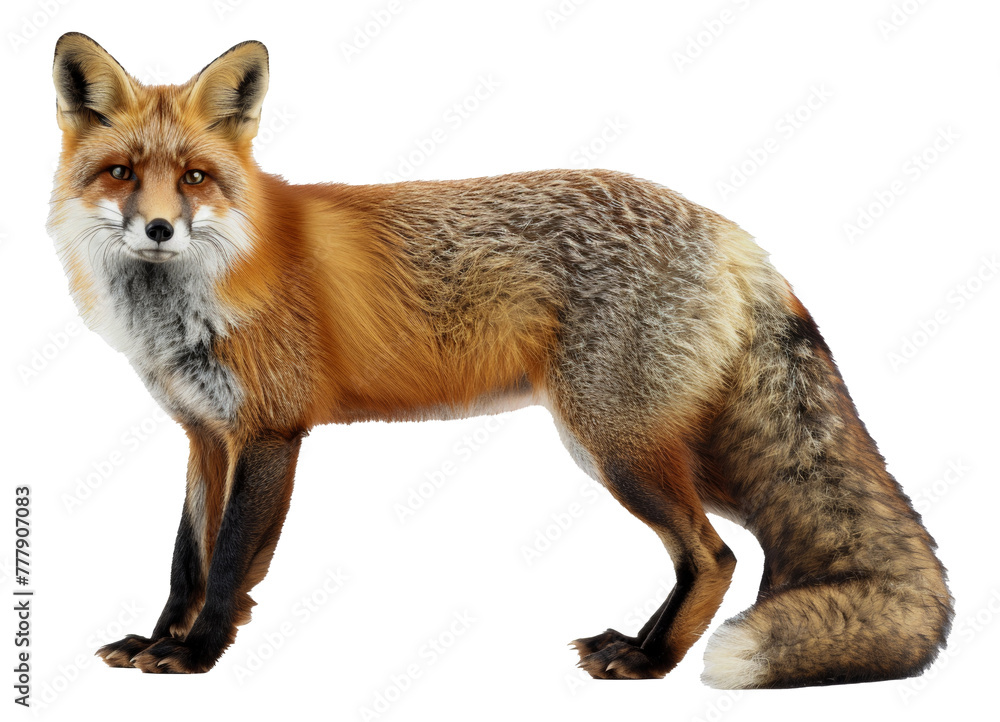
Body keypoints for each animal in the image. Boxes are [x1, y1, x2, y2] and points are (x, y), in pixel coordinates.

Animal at [46, 32, 953, 686]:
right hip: (670, 450)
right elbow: (186, 559)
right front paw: (157, 639)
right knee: (716, 552)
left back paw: (651, 662)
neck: (196, 296)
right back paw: (637, 644)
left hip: (616, 445)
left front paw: (196, 655)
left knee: (716, 555)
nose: (158, 229)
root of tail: (731, 232)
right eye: (121, 172)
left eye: (196, 178)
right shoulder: (206, 433)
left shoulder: (270, 432)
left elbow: (230, 560)